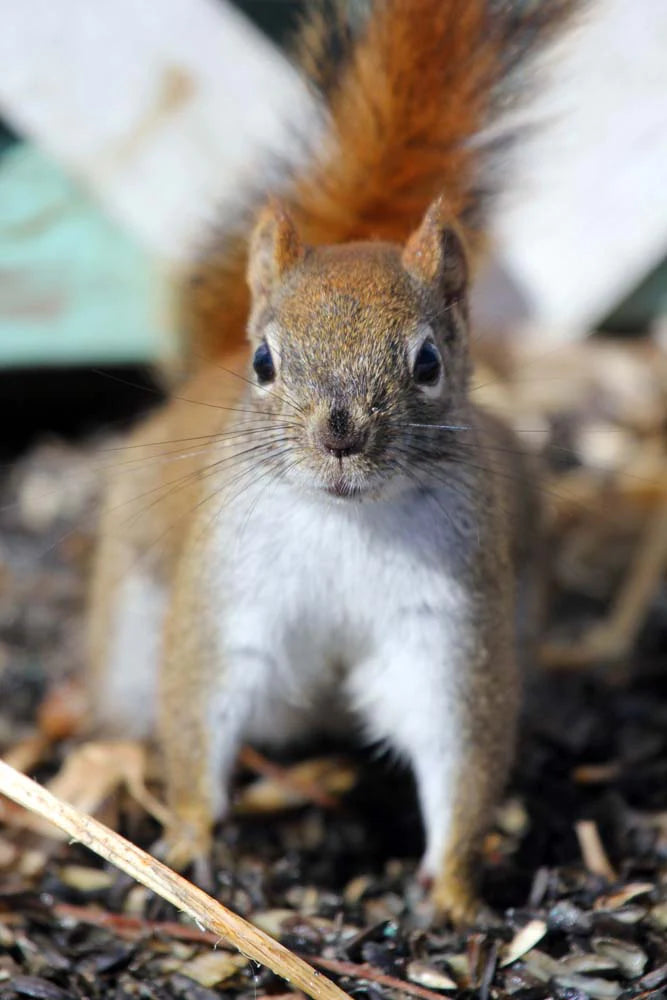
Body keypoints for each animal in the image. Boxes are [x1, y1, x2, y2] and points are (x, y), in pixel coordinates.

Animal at [88, 0, 575, 924]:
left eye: (428, 362)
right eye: (264, 363)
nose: (340, 434)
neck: (347, 524)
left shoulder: (446, 620)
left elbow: (456, 745)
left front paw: (454, 890)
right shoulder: (228, 597)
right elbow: (202, 707)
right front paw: (190, 841)